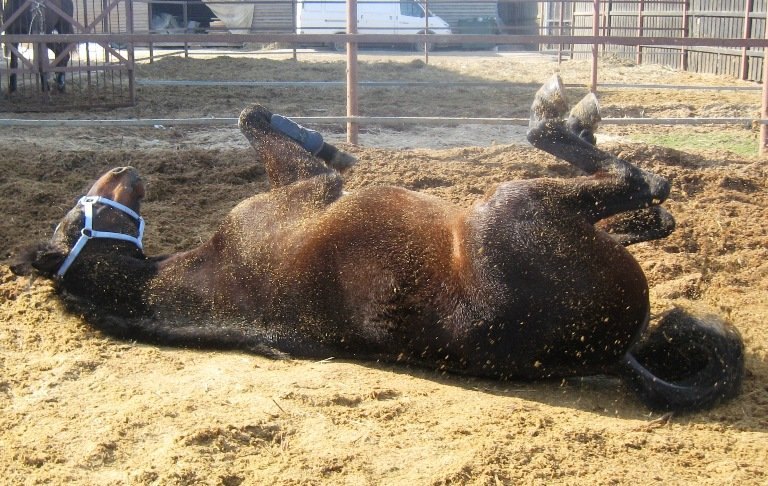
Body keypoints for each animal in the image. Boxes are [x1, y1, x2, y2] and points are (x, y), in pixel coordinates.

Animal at [12, 78, 744, 412]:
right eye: (75, 221)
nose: (123, 170)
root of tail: (615, 350)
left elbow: (250, 116)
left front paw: (329, 140)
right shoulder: (305, 193)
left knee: (654, 213)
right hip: (511, 207)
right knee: (641, 183)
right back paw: (563, 114)